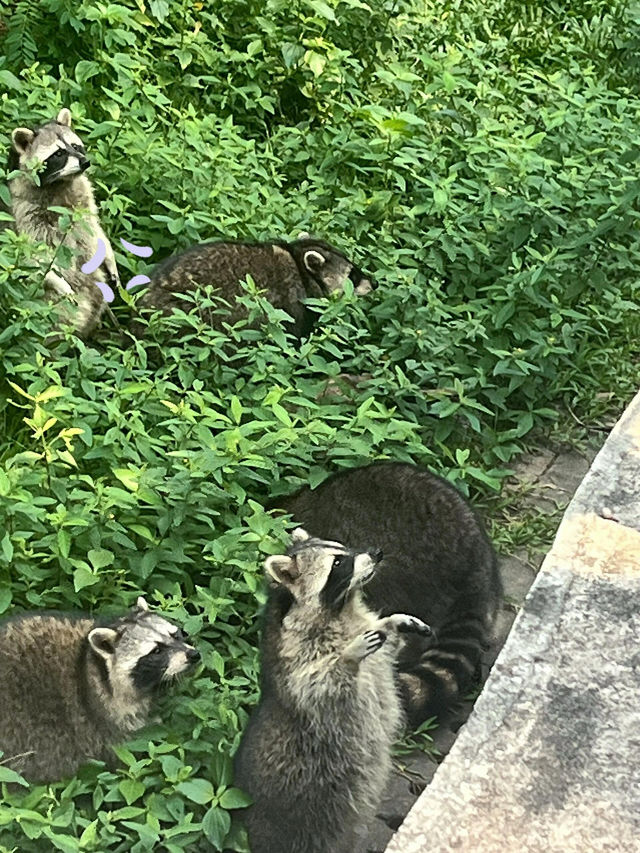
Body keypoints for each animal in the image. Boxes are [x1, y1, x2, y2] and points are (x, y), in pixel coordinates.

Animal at [7, 110, 120, 340]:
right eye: (58, 154)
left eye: (76, 146)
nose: (85, 162)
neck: (61, 183)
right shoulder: (23, 211)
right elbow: (32, 256)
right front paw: (58, 281)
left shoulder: (84, 196)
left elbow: (95, 229)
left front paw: (109, 255)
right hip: (52, 310)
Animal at [232, 524, 432, 852]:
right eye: (338, 564)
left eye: (344, 547)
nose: (377, 552)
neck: (343, 609)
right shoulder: (297, 662)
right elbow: (322, 685)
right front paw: (348, 657)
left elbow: (385, 646)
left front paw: (392, 623)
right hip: (295, 819)